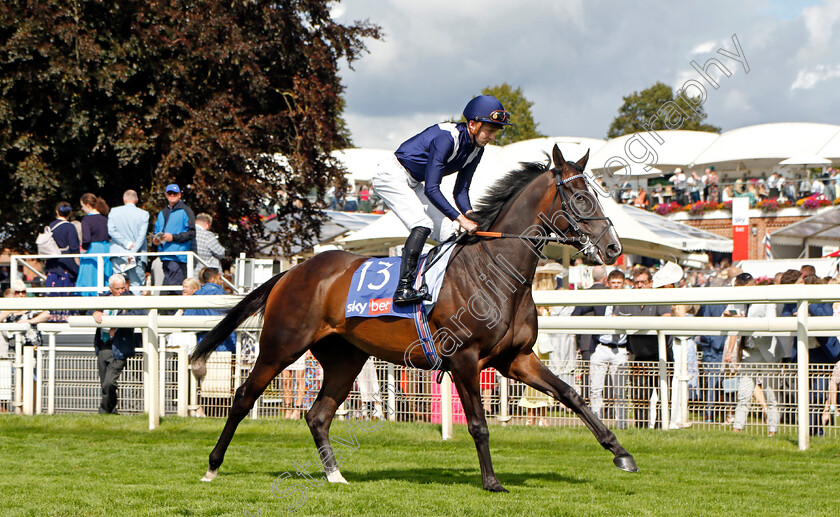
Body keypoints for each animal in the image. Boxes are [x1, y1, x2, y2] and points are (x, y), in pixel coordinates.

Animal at [190, 143, 636, 490]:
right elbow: (478, 423)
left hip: (345, 357)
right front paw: (492, 481)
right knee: (243, 397)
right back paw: (212, 467)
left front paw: (621, 453)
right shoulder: (465, 358)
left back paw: (336, 475)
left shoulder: (517, 359)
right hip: (281, 344)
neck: (496, 268)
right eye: (581, 199)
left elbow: (571, 394)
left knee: (317, 415)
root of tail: (292, 271)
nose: (613, 248)